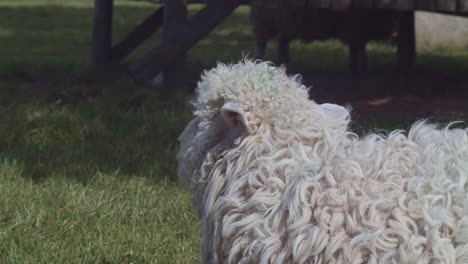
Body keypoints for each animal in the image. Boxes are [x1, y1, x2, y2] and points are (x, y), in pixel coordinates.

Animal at [250, 7, 396, 75]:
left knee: (282, 42)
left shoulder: (362, 29)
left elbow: (362, 48)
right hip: (268, 20)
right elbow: (356, 48)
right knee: (261, 44)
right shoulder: (353, 26)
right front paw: (356, 69)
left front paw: (364, 68)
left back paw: (283, 62)